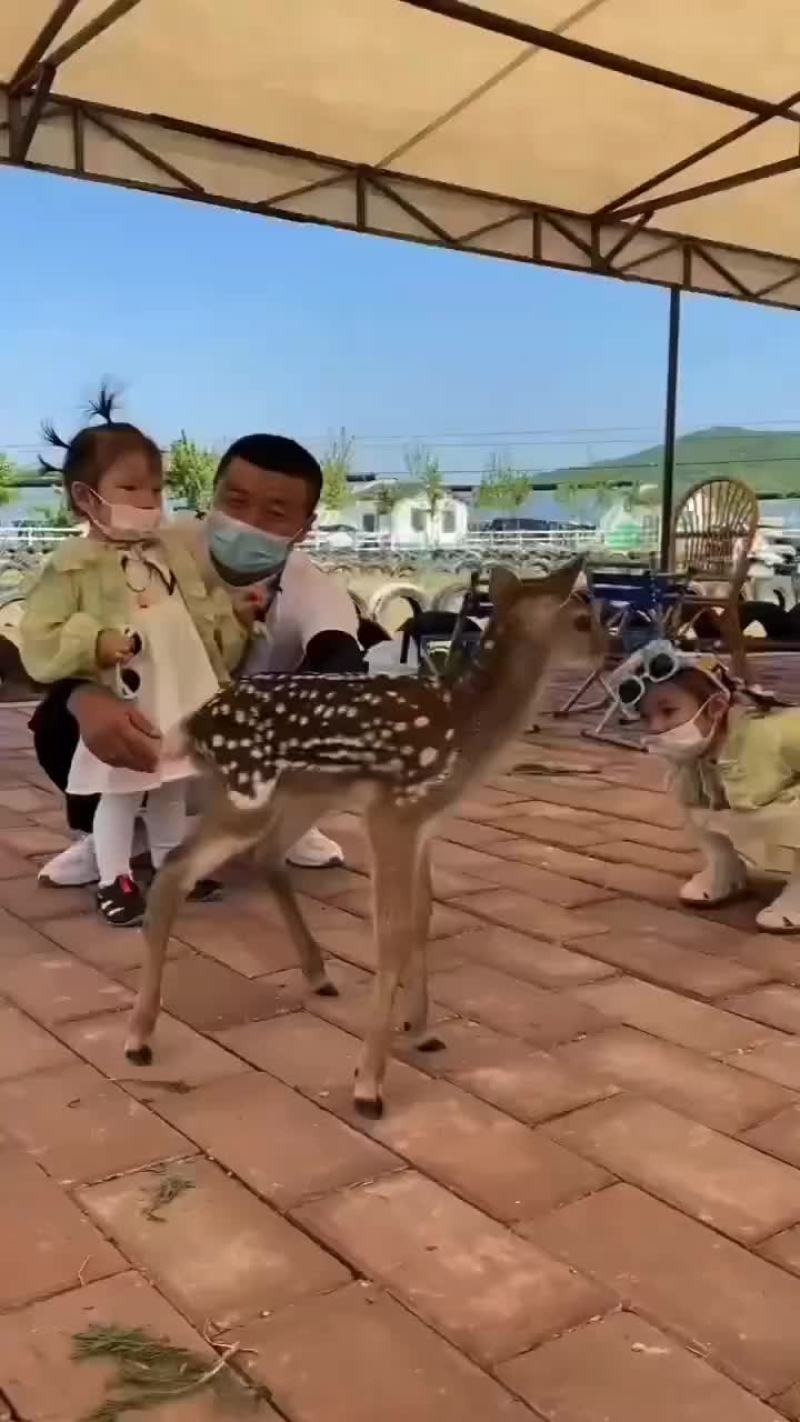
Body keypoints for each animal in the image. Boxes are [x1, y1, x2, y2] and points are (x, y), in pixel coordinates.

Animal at [125, 558, 597, 1117]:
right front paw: (369, 1084)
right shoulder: (394, 811)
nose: (612, 648)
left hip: (299, 794)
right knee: (175, 869)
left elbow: (422, 918)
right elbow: (391, 932)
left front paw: (422, 1031)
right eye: (587, 619)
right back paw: (138, 1038)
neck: (466, 729)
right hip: (247, 794)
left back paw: (318, 975)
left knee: (261, 856)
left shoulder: (425, 825)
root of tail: (191, 723)